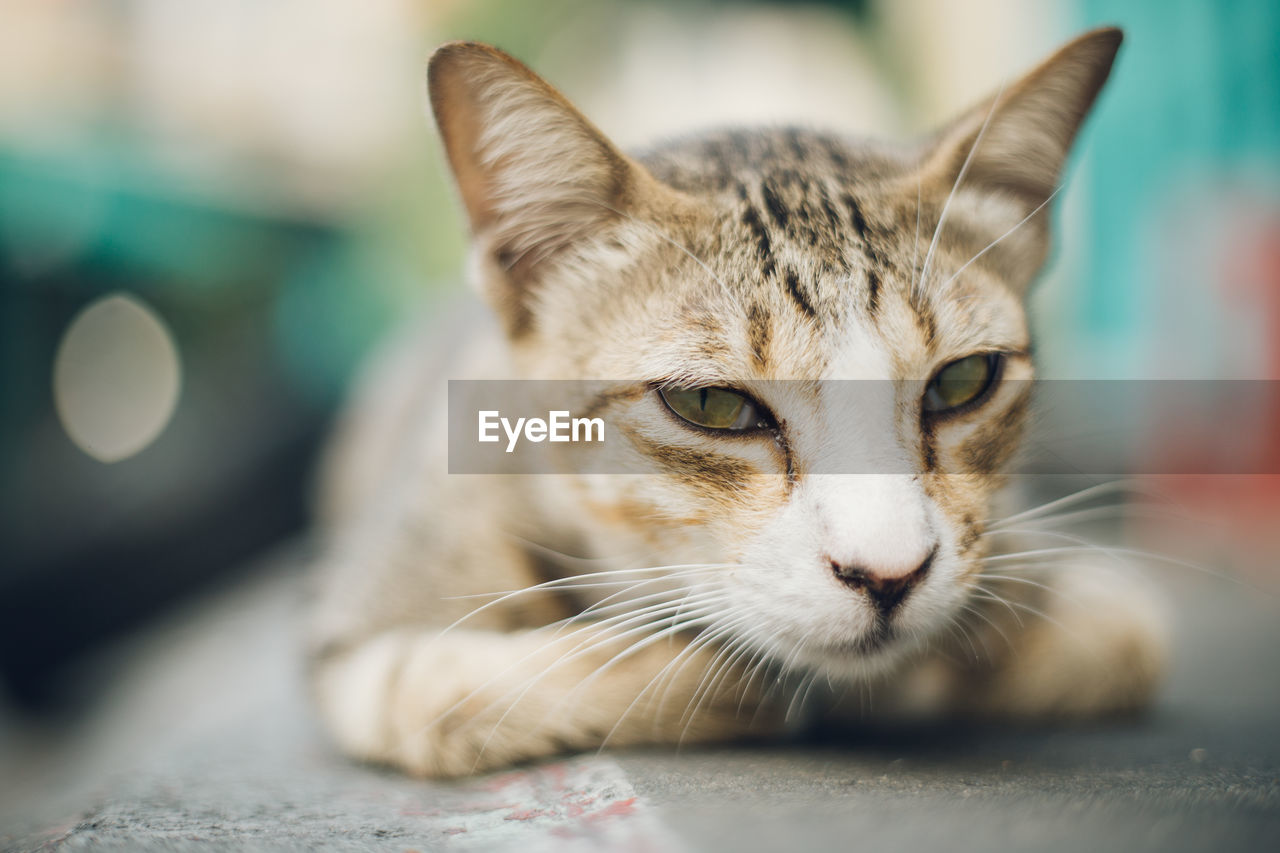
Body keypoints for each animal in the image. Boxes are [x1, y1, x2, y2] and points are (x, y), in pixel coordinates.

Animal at [304, 26, 1167, 773]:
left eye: (963, 381)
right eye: (711, 404)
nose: (888, 575)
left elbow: (1120, 636)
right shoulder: (370, 635)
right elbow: (432, 693)